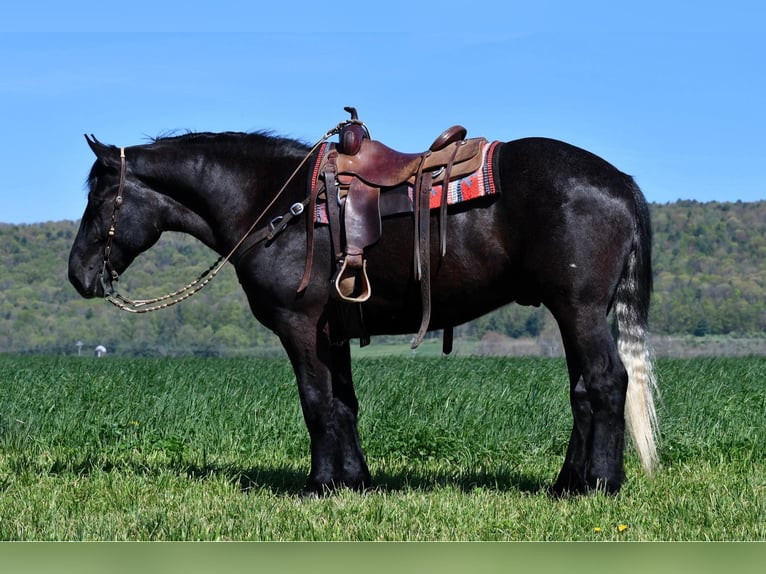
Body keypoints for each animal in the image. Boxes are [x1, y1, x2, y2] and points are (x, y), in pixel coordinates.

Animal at [67, 115, 660, 498]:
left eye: (100, 197)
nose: (77, 274)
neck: (278, 204)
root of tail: (619, 182)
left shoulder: (300, 326)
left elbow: (315, 402)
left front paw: (319, 486)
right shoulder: (333, 331)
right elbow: (342, 403)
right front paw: (354, 480)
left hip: (579, 309)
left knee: (606, 383)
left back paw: (600, 485)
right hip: (572, 312)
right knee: (583, 391)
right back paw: (567, 484)